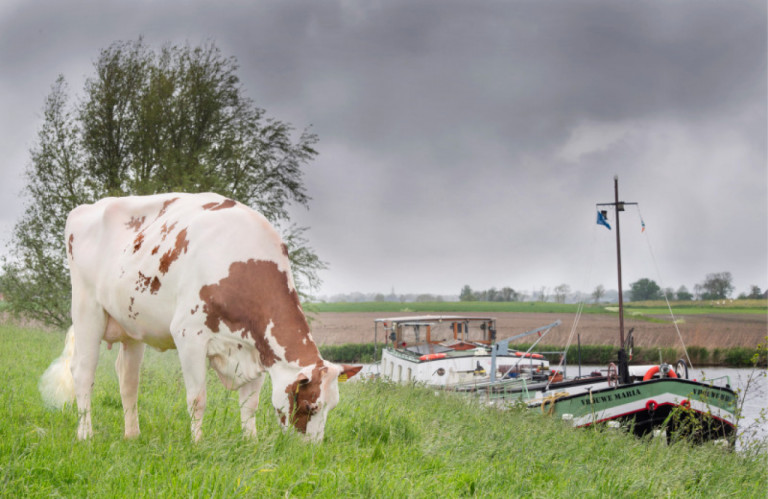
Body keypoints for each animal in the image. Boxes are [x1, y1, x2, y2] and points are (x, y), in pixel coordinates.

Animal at [43, 193, 362, 444]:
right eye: (309, 407)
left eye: (331, 407)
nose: (310, 450)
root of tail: (86, 207)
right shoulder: (189, 337)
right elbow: (197, 399)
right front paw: (197, 442)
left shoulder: (256, 348)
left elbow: (250, 404)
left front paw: (250, 441)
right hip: (87, 310)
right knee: (83, 372)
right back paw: (85, 434)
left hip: (132, 325)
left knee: (128, 378)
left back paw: (132, 435)